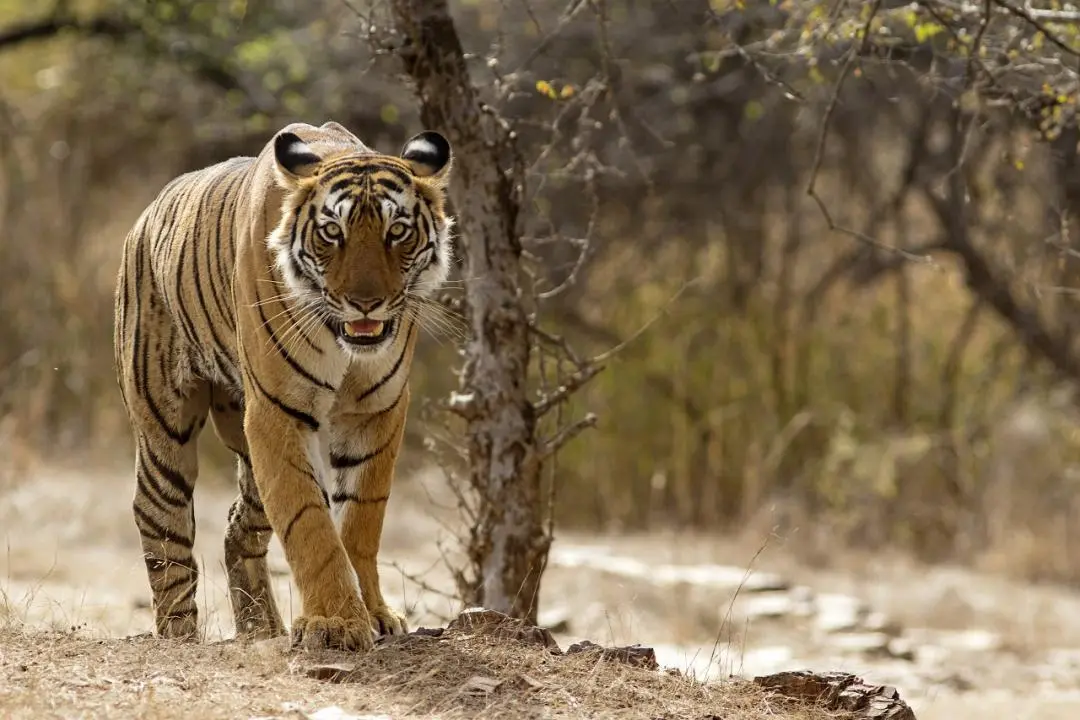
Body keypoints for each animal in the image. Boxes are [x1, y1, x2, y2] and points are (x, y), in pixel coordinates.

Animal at [112, 120, 454, 652]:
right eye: (332, 232)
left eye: (397, 231)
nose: (366, 303)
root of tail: (146, 214)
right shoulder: (277, 412)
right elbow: (309, 521)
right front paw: (336, 623)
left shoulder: (376, 410)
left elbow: (360, 519)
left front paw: (374, 614)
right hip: (164, 427)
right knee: (160, 521)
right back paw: (179, 636)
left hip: (246, 455)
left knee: (238, 528)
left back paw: (260, 628)